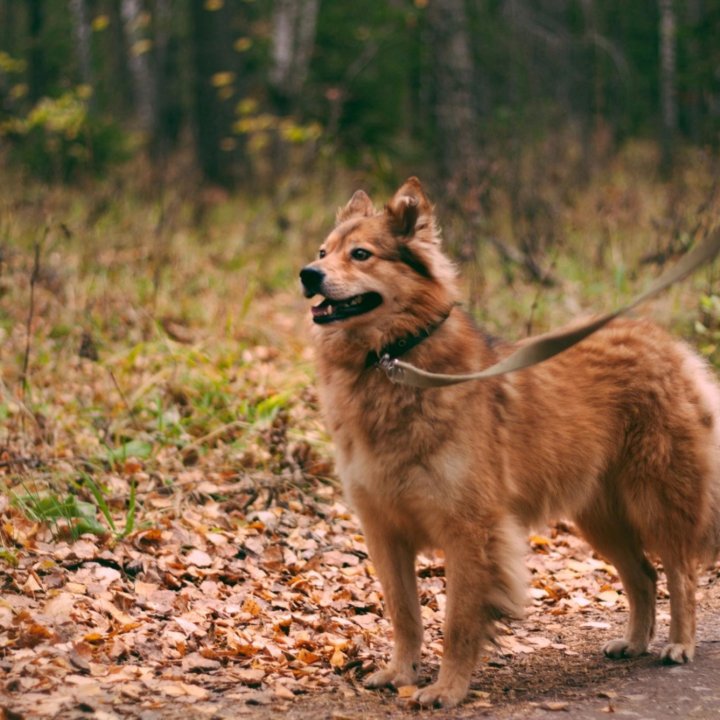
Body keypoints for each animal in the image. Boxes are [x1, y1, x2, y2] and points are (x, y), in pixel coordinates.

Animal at [298, 177, 720, 704]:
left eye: (360, 254)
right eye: (322, 251)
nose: (307, 275)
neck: (392, 360)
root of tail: (669, 345)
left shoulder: (470, 531)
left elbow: (457, 622)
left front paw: (447, 689)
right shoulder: (385, 532)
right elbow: (405, 614)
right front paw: (400, 673)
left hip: (656, 501)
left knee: (681, 574)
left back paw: (679, 643)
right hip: (600, 517)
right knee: (643, 575)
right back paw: (634, 642)